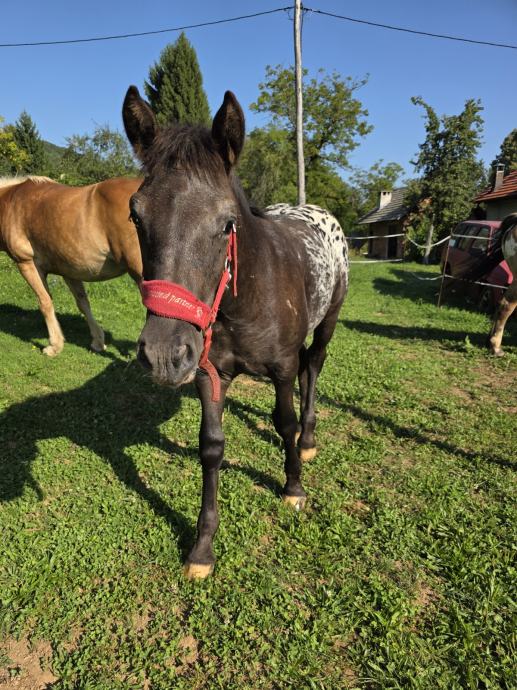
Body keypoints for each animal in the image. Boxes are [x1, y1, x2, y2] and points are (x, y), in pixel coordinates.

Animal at [0, 175, 142, 355]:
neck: (10, 201)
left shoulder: (27, 263)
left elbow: (45, 302)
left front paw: (54, 345)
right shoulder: (69, 270)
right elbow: (83, 303)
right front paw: (98, 341)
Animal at [122, 85, 349, 578]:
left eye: (227, 223)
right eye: (135, 217)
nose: (164, 354)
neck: (246, 300)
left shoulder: (281, 368)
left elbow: (283, 421)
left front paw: (293, 487)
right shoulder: (210, 373)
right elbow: (211, 447)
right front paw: (202, 548)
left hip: (328, 324)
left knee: (314, 367)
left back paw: (308, 441)